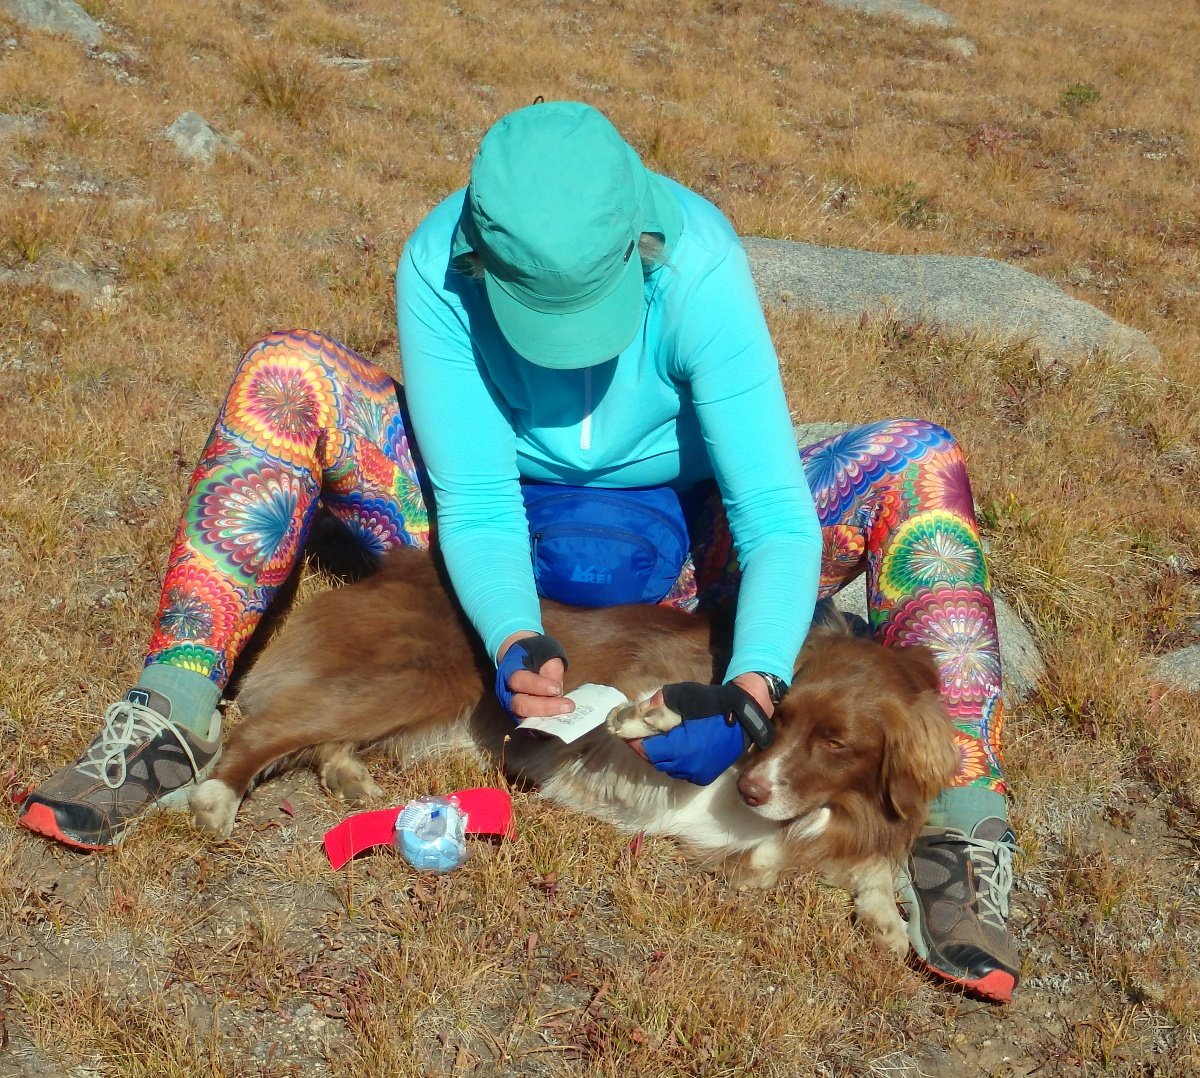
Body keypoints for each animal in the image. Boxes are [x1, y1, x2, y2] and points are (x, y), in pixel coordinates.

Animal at [192, 547, 960, 950]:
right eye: (780, 719)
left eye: (835, 742)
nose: (748, 789)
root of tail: (401, 566)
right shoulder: (636, 687)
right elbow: (646, 717)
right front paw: (648, 719)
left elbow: (863, 864)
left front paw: (887, 924)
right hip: (410, 679)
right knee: (268, 727)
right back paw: (217, 796)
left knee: (318, 736)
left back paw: (347, 775)